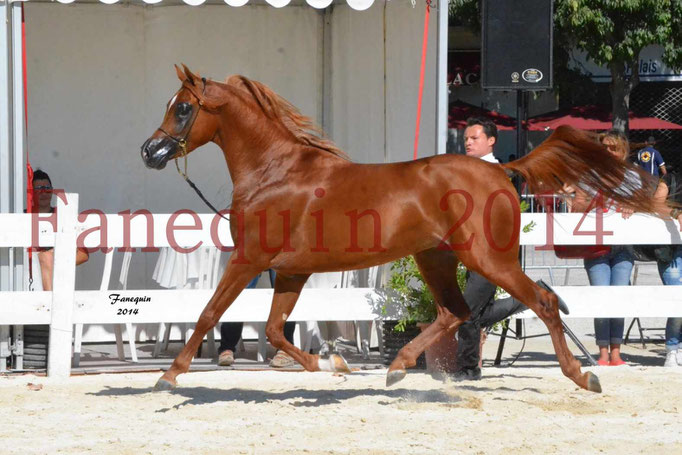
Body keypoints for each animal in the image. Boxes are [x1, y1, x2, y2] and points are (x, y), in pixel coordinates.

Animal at [141, 65, 656, 396]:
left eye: (183, 108)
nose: (150, 152)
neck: (277, 172)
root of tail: (500, 170)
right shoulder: (289, 272)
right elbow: (273, 330)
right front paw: (333, 364)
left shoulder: (249, 259)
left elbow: (209, 314)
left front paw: (168, 376)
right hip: (437, 257)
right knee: (454, 312)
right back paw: (396, 369)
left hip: (488, 259)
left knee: (541, 302)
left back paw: (584, 377)